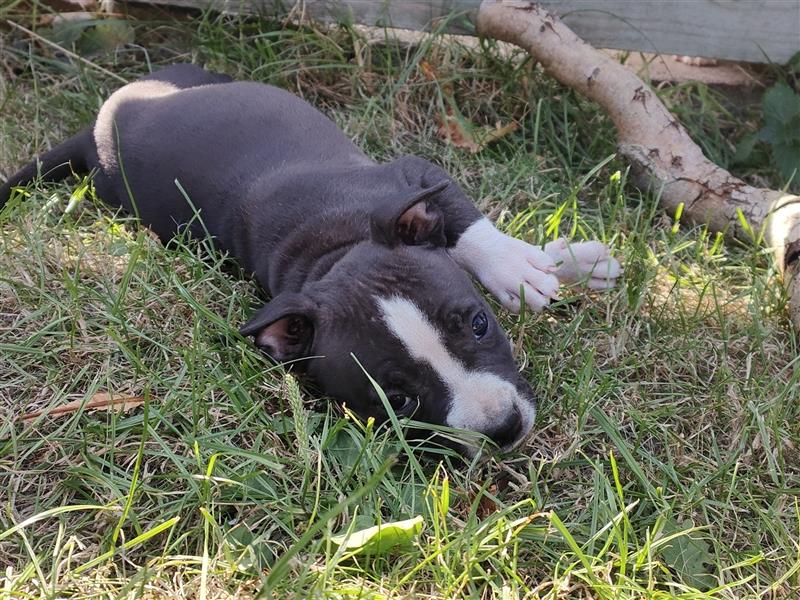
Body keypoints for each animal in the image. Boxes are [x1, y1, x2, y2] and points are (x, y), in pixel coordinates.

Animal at [0, 64, 620, 450]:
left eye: (478, 323)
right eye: (398, 400)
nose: (503, 428)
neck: (330, 248)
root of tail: (92, 131)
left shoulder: (415, 176)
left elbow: (468, 227)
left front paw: (534, 267)